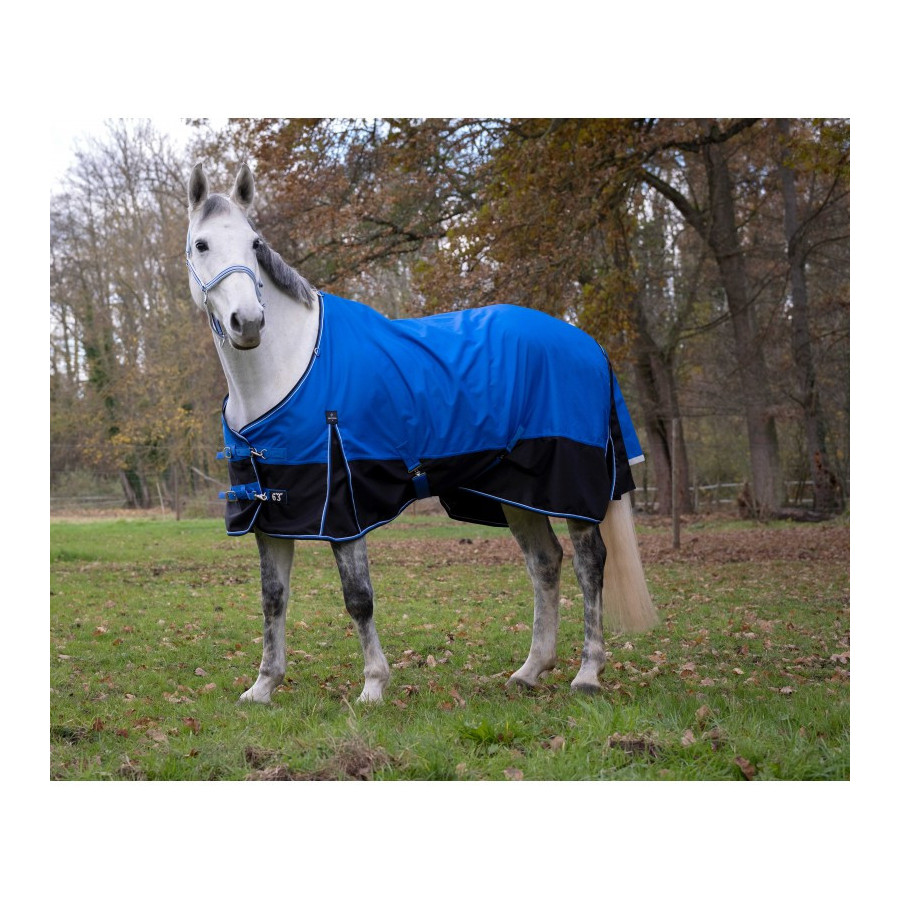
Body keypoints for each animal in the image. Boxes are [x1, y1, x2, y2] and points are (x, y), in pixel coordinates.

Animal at [186, 162, 658, 704]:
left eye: (255, 243)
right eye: (201, 244)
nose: (247, 322)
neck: (287, 369)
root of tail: (589, 344)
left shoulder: (343, 509)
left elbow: (358, 598)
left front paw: (373, 686)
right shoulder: (273, 514)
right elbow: (273, 599)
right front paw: (263, 686)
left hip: (570, 488)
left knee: (588, 564)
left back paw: (587, 673)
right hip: (519, 491)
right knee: (545, 563)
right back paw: (530, 671)